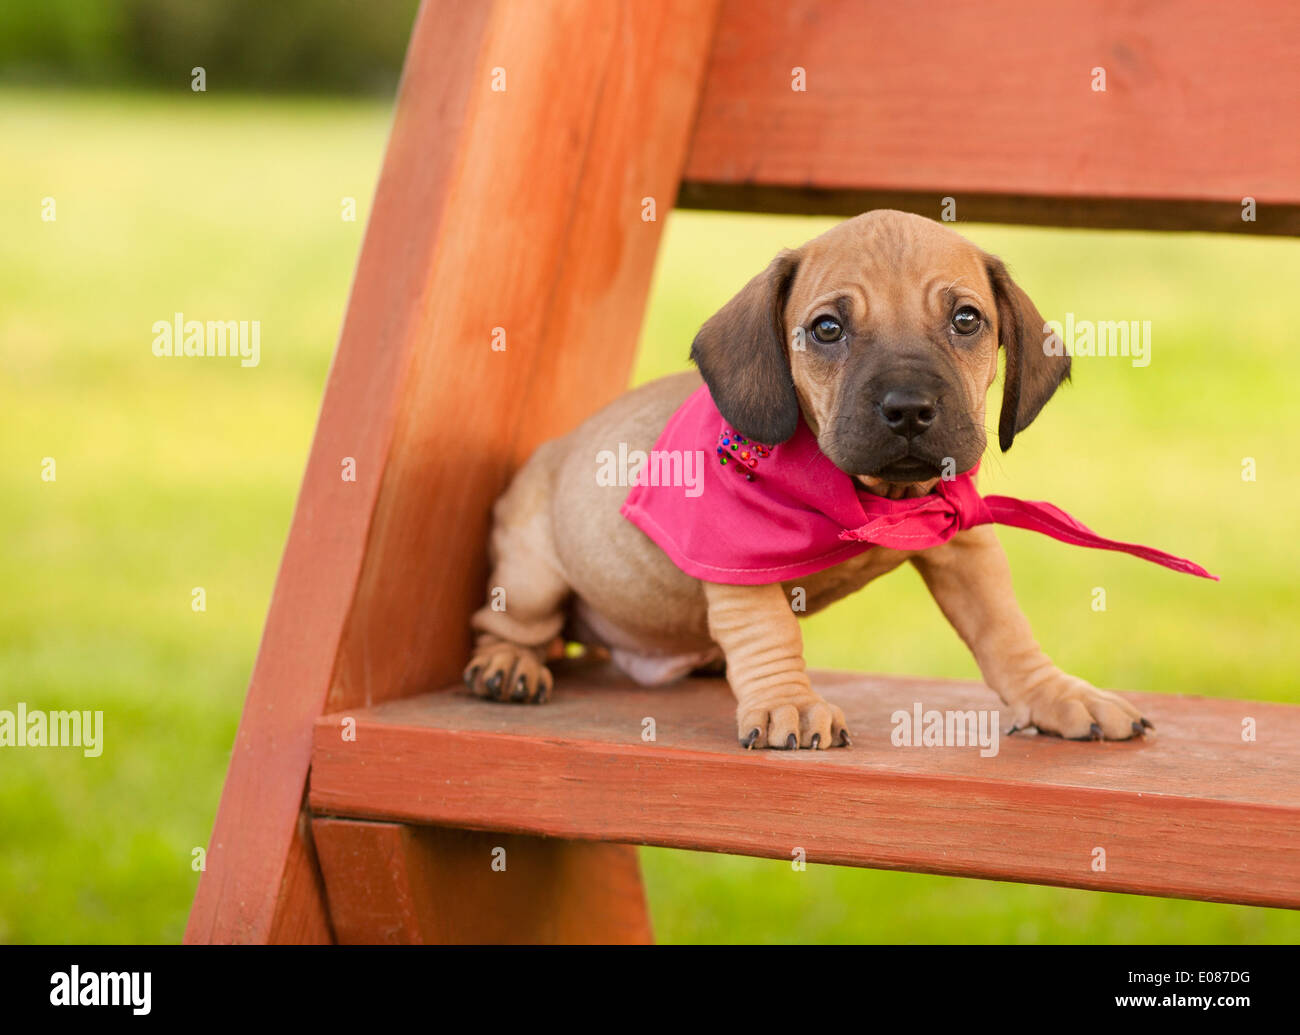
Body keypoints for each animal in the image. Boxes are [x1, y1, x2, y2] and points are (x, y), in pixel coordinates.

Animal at [465, 210, 1149, 748]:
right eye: (827, 329)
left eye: (966, 320)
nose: (908, 409)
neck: (874, 498)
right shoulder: (733, 552)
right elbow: (769, 632)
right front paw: (787, 704)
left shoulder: (964, 542)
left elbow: (1005, 631)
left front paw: (1057, 695)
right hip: (530, 577)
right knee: (507, 625)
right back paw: (507, 665)